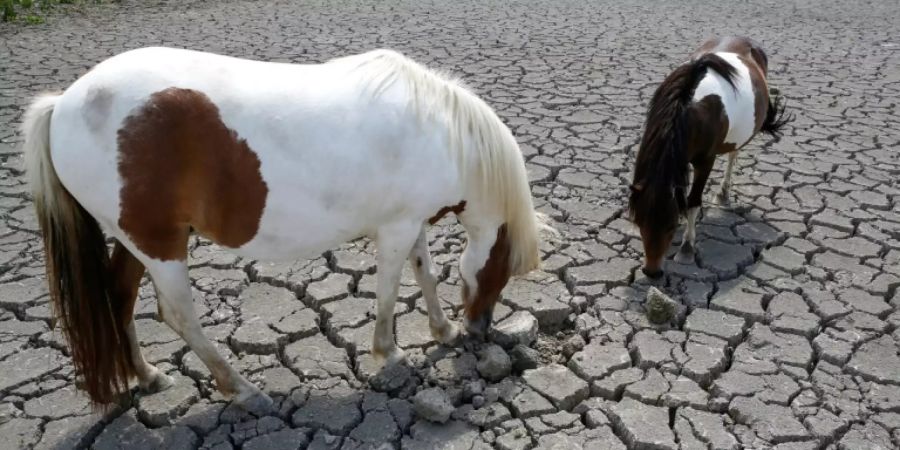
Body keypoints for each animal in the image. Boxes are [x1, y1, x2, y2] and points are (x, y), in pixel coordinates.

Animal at [22, 48, 548, 412]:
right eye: (503, 269)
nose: (480, 328)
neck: (436, 130)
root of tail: (63, 103)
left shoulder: (412, 222)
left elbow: (427, 275)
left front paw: (441, 329)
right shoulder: (397, 228)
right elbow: (389, 290)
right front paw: (391, 353)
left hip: (135, 242)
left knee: (119, 298)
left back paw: (148, 376)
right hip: (161, 246)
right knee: (179, 316)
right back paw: (242, 390)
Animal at [628, 37, 792, 278]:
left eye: (670, 226)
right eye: (639, 222)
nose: (652, 272)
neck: (688, 107)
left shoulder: (705, 162)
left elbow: (693, 202)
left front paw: (686, 248)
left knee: (733, 155)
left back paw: (723, 194)